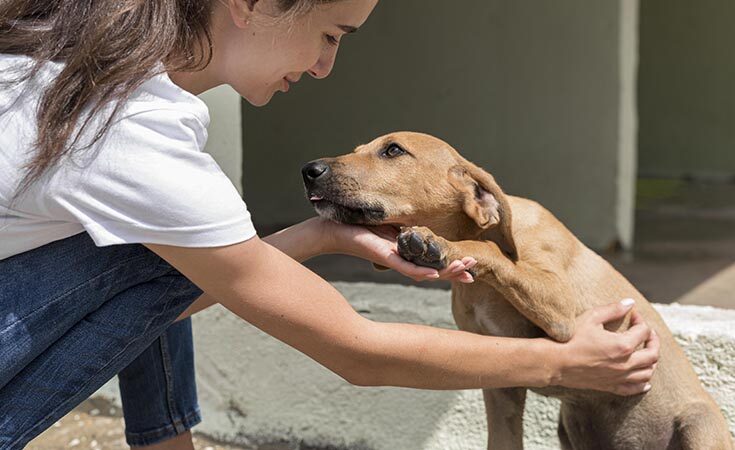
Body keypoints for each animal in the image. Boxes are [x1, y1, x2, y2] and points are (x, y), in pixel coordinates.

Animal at [302, 132, 732, 448]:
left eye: (393, 150)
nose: (309, 169)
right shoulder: (500, 384)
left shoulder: (565, 313)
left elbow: (492, 253)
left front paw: (438, 245)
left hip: (698, 424)